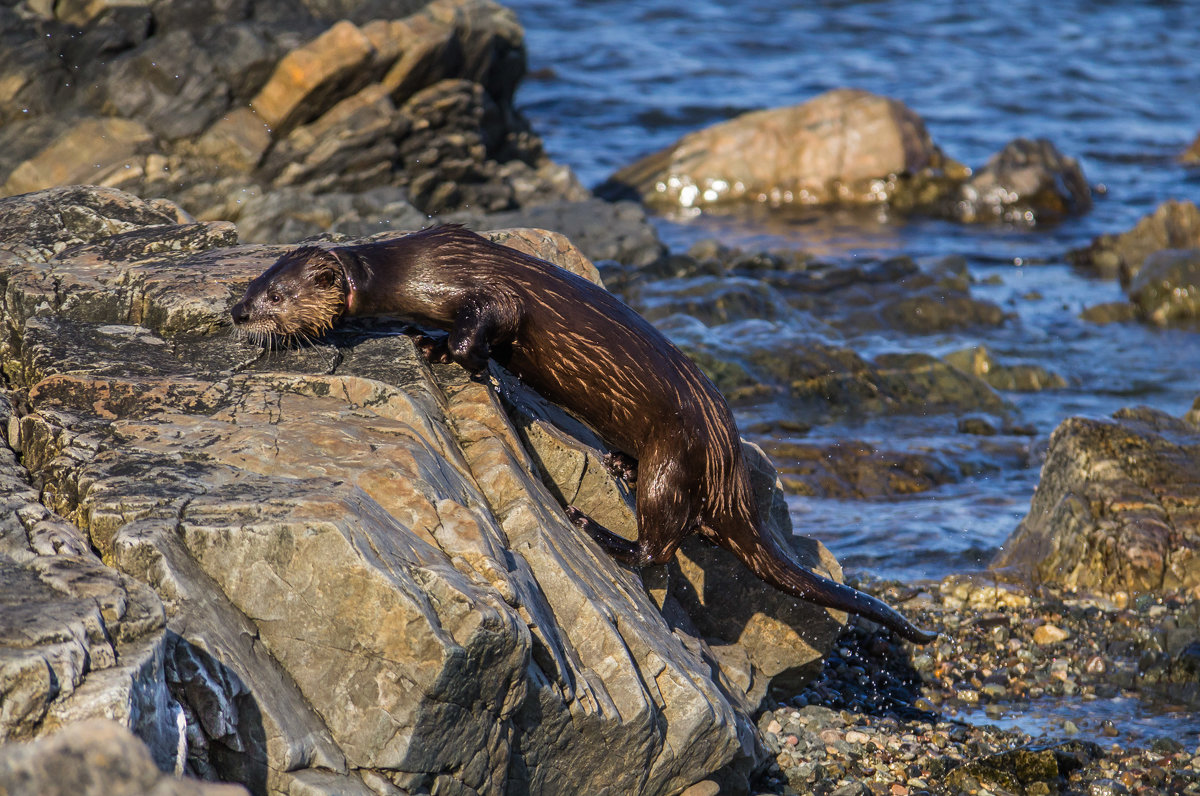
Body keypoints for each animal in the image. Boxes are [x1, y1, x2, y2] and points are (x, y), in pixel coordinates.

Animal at [226, 220, 936, 643]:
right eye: (253, 283)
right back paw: (616, 469)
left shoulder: (489, 295)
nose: (237, 312)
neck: (419, 267)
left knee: (660, 543)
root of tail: (729, 467)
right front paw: (426, 341)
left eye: (276, 298)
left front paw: (447, 352)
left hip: (674, 453)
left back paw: (597, 525)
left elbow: (484, 330)